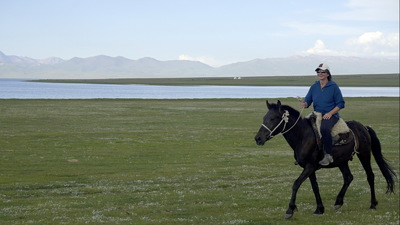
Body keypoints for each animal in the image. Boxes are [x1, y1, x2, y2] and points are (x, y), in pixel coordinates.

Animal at [255, 100, 396, 220]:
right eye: (264, 118)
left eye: (273, 118)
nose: (258, 138)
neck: (303, 136)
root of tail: (364, 128)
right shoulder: (309, 168)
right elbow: (315, 187)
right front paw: (319, 209)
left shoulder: (310, 166)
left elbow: (296, 184)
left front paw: (290, 210)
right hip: (342, 161)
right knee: (348, 177)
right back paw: (338, 202)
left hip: (364, 155)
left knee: (370, 176)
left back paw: (373, 204)